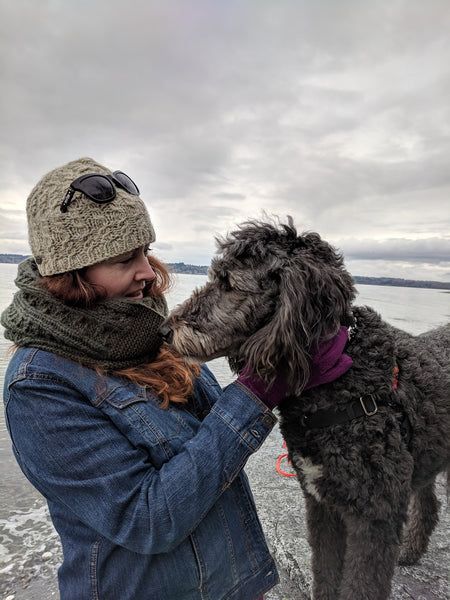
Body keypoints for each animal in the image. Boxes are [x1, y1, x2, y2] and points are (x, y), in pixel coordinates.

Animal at [166, 218, 450, 596]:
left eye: (229, 284)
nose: (164, 329)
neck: (339, 377)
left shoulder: (375, 516)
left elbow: (361, 586)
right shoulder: (321, 504)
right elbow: (325, 573)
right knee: (430, 503)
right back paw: (411, 551)